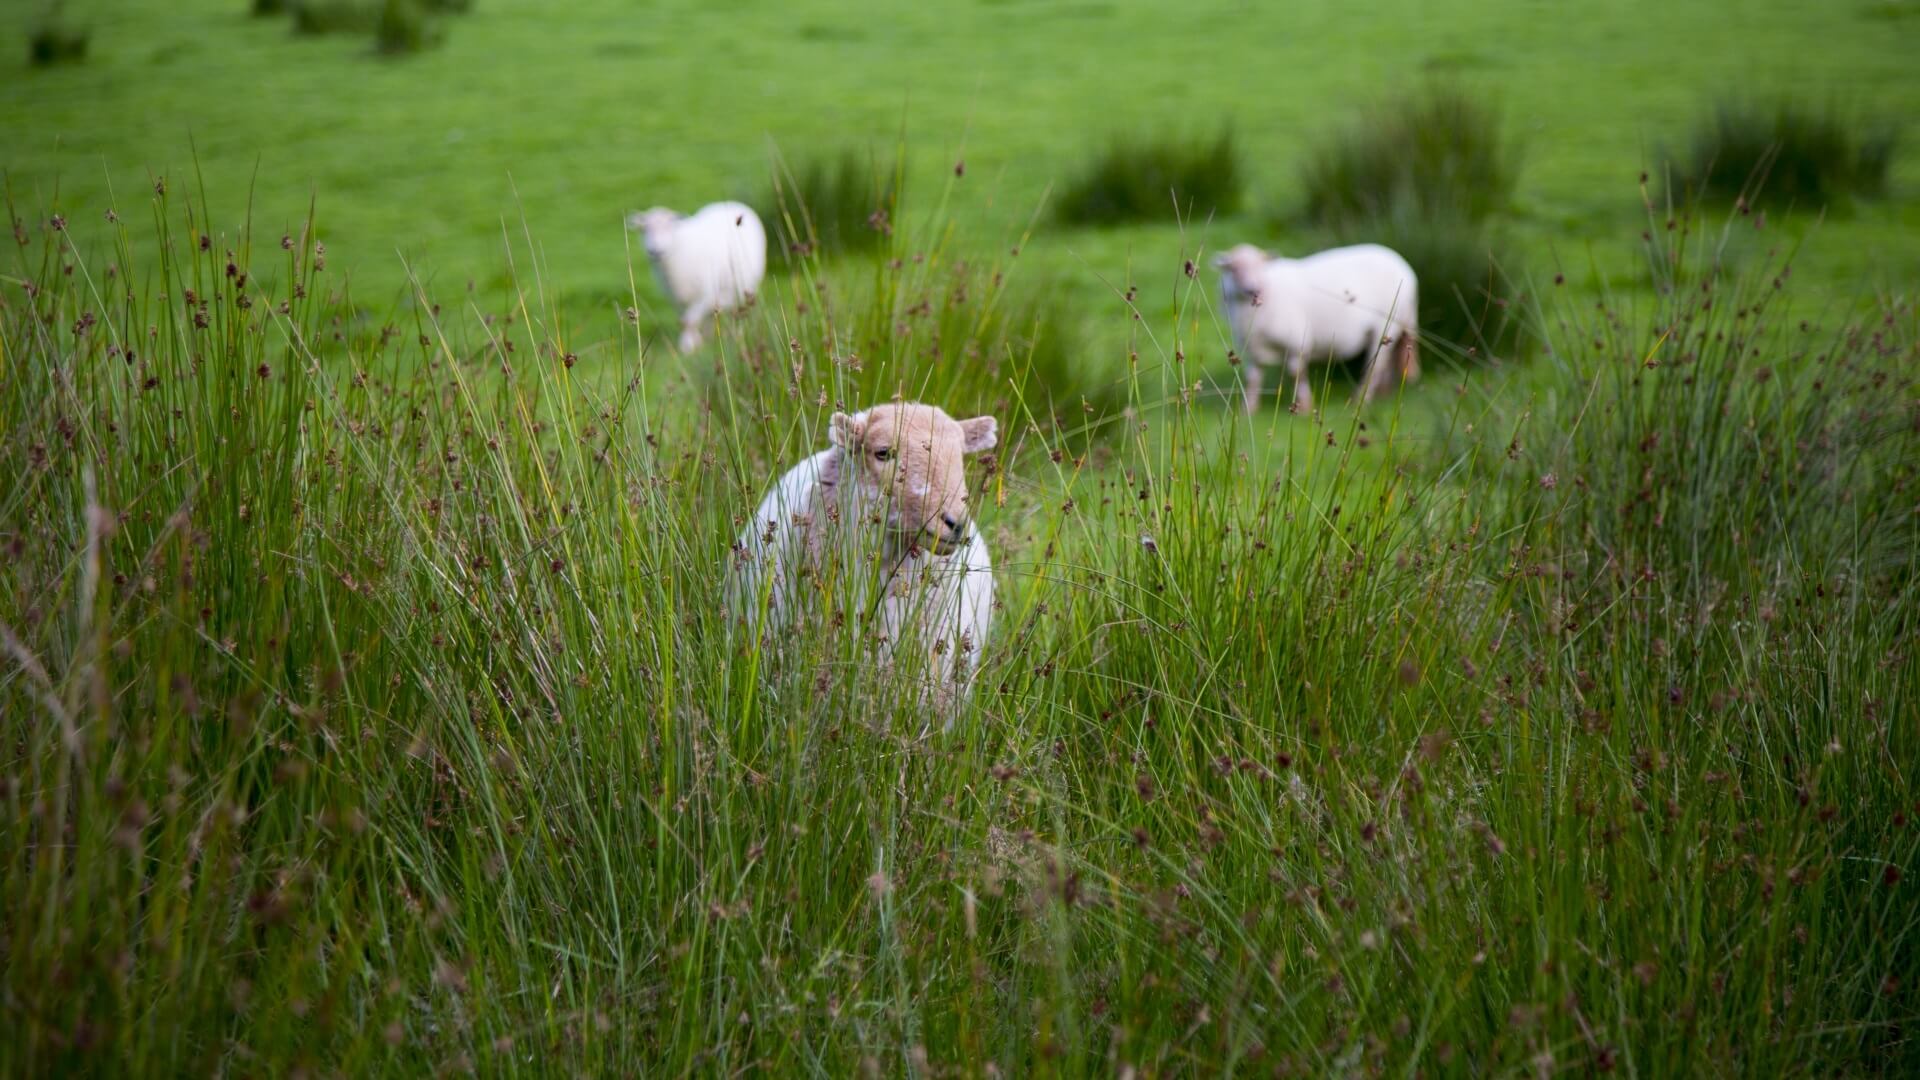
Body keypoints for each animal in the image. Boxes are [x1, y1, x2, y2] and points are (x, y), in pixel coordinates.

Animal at [625, 199, 768, 351]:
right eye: (644, 229)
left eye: (669, 227)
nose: (655, 251)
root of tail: (733, 202)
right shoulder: (675, 297)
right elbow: (684, 320)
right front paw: (696, 342)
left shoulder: (704, 293)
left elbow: (690, 320)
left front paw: (687, 346)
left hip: (743, 287)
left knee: (739, 311)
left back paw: (737, 335)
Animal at [1221, 242, 1420, 413]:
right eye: (1233, 269)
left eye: (1260, 266)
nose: (1251, 289)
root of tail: (1400, 261)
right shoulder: (1252, 349)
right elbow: (1253, 378)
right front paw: (1248, 410)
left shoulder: (1297, 342)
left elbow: (1297, 373)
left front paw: (1304, 408)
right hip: (1399, 323)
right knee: (1391, 358)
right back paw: (1385, 394)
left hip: (1387, 324)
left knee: (1377, 365)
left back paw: (1361, 400)